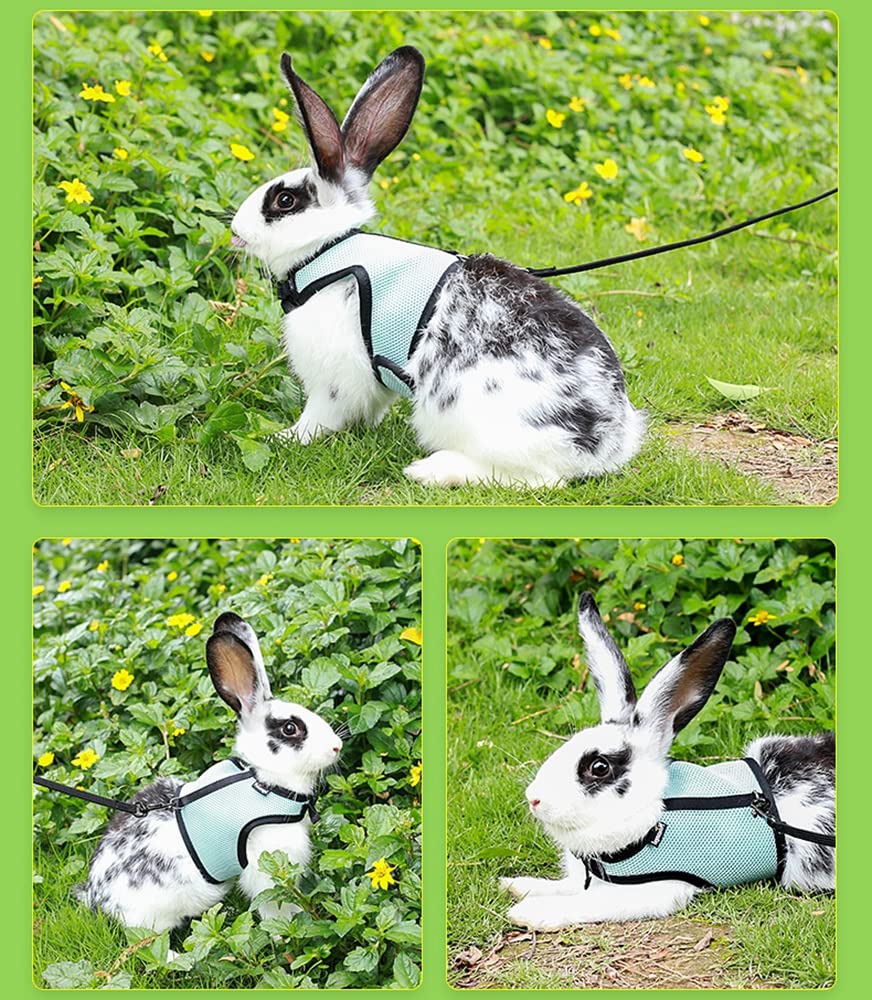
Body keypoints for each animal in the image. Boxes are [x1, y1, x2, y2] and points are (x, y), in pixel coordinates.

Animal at [78, 612, 342, 932]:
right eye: (290, 728)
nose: (337, 746)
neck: (262, 780)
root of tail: (97, 896)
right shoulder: (267, 867)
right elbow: (276, 906)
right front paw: (288, 928)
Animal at [229, 47, 645, 488]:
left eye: (284, 201)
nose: (236, 229)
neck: (330, 249)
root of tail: (605, 441)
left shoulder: (334, 381)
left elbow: (319, 417)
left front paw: (285, 437)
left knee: (535, 477)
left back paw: (429, 469)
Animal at [500, 593, 835, 930]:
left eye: (599, 767)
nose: (533, 799)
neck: (655, 814)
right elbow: (564, 886)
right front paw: (516, 884)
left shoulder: (658, 889)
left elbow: (587, 902)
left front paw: (528, 912)